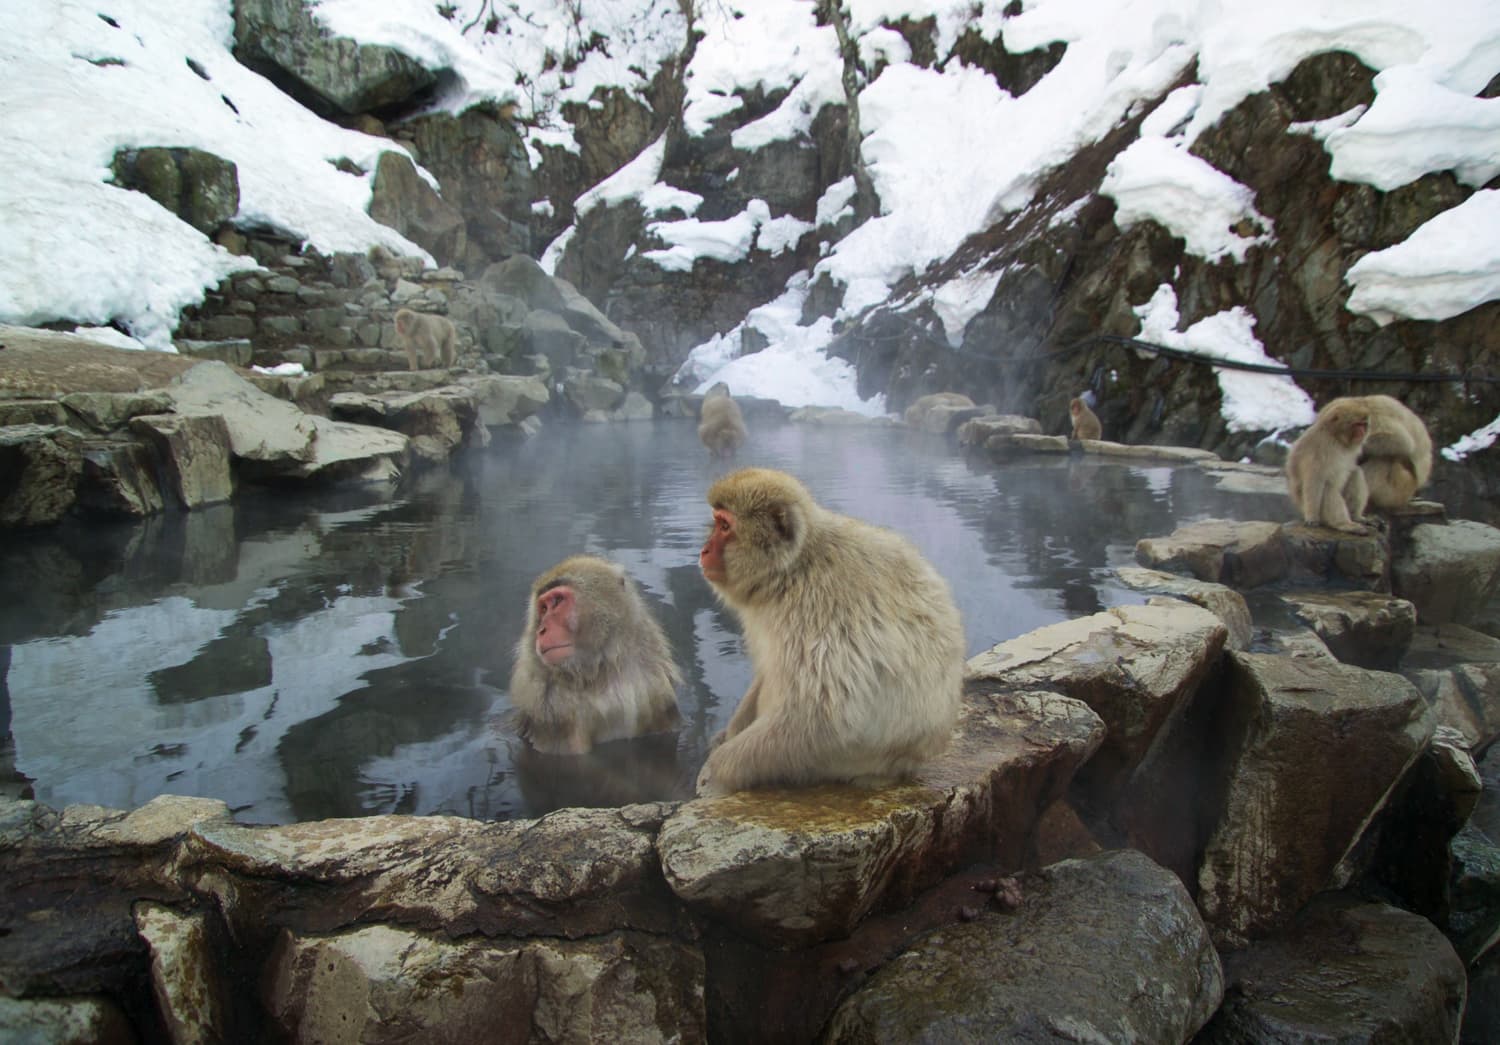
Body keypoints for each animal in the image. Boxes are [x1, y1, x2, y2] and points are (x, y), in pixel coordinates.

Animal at [508, 555, 682, 755]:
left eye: (558, 600)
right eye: (543, 609)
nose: (541, 631)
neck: (598, 674)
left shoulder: (653, 685)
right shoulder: (550, 710)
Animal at [694, 467, 965, 797]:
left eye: (724, 526)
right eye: (717, 521)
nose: (704, 550)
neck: (792, 571)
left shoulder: (815, 609)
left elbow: (821, 716)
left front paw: (717, 773)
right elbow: (769, 670)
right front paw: (729, 733)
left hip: (846, 761)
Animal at [1285, 397, 1372, 533]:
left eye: (1364, 424)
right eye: (1357, 424)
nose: (1363, 432)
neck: (1335, 437)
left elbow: (1350, 470)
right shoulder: (1321, 446)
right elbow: (1314, 479)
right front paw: (1312, 517)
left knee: (1356, 473)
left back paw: (1356, 517)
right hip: (1311, 509)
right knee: (1328, 488)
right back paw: (1344, 524)